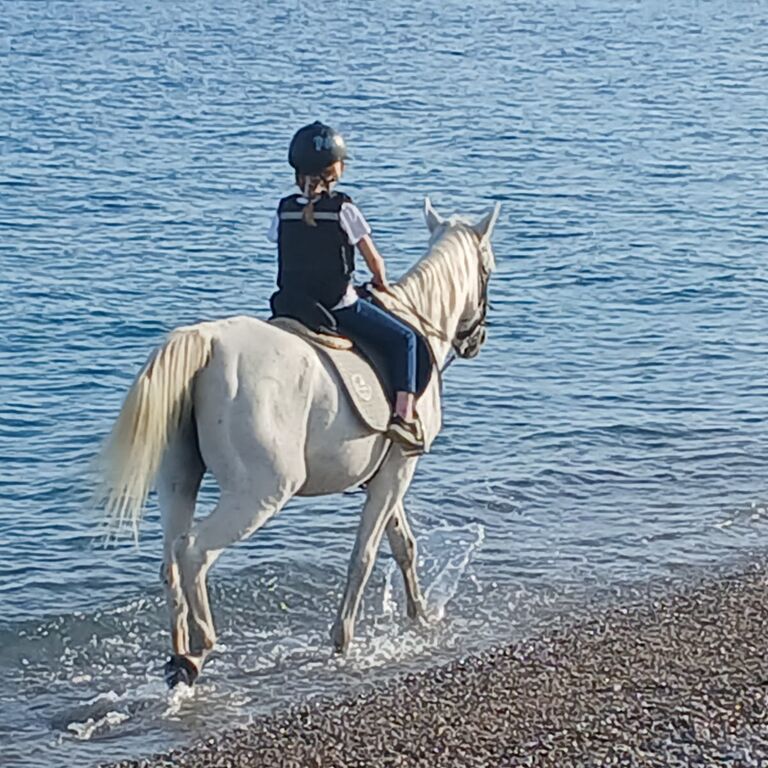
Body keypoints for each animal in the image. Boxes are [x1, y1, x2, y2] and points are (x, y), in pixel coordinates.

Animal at [96, 198, 500, 687]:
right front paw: (343, 640)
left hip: (179, 481)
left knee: (170, 559)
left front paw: (419, 617)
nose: (476, 340)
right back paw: (200, 649)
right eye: (488, 268)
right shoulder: (401, 468)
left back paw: (178, 658)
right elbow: (365, 555)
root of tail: (208, 343)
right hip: (262, 492)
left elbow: (402, 545)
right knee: (194, 552)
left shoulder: (385, 472)